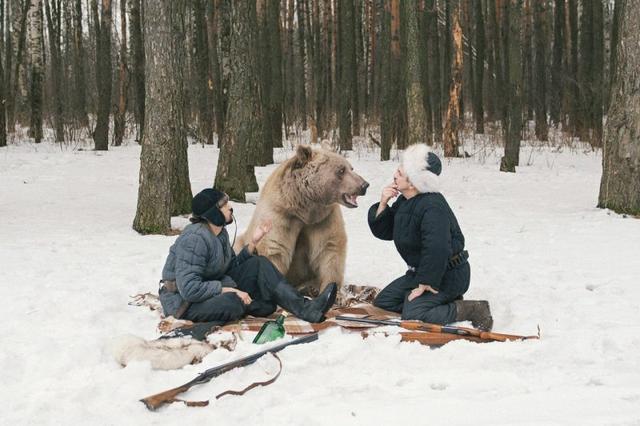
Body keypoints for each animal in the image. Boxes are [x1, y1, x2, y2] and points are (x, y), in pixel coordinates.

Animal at [235, 145, 368, 294]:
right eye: (341, 170)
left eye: (351, 168)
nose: (364, 185)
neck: (304, 208)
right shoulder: (279, 215)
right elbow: (274, 249)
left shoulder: (323, 219)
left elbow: (329, 251)